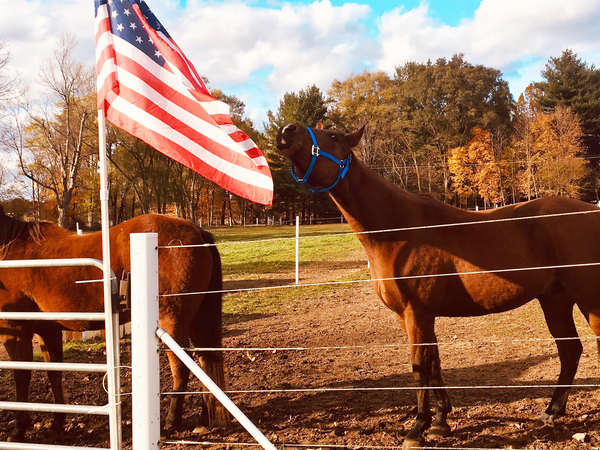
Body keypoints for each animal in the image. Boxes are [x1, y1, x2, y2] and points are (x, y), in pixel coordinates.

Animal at [278, 122, 600, 446]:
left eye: (333, 136)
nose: (287, 130)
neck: (399, 230)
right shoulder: (413, 316)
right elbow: (434, 362)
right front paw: (440, 422)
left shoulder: (417, 313)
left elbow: (419, 367)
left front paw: (417, 429)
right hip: (555, 300)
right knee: (570, 351)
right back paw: (551, 411)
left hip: (589, 302)